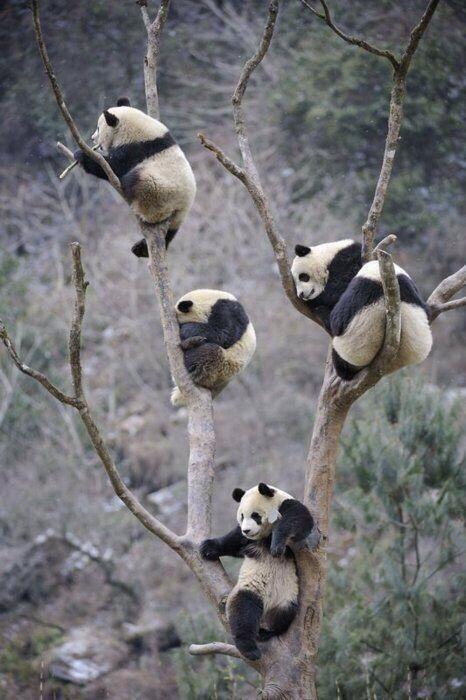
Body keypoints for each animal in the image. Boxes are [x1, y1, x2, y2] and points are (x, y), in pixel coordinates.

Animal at [74, 97, 196, 256]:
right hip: (175, 216)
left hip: (160, 192)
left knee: (137, 181)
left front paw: (81, 155)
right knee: (170, 234)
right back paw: (141, 249)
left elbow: (114, 167)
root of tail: (182, 207)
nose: (93, 138)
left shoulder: (134, 150)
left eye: (99, 128)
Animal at [200, 483, 314, 661]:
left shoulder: (287, 506)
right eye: (241, 516)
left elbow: (299, 520)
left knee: (283, 615)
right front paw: (208, 548)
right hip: (251, 589)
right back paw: (251, 646)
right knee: (244, 610)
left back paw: (264, 634)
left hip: (286, 598)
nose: (247, 530)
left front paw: (277, 545)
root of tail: (267, 609)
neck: (264, 535)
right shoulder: (246, 539)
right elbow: (233, 540)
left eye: (255, 515)